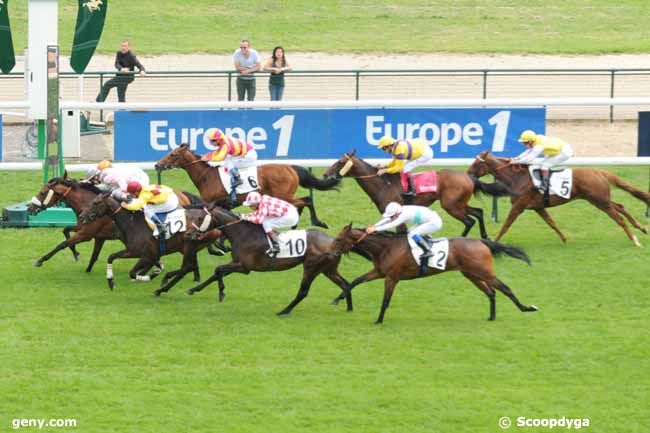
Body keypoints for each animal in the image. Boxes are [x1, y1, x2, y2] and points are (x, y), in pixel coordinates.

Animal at [153, 143, 340, 228]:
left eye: (173, 154)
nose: (157, 165)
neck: (207, 176)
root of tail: (290, 167)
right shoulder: (223, 204)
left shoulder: (213, 202)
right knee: (302, 202)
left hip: (283, 195)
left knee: (306, 200)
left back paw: (317, 222)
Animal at [172, 206, 352, 314]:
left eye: (200, 219)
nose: (188, 234)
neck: (242, 233)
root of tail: (334, 242)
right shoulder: (237, 263)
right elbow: (216, 273)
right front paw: (193, 290)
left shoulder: (244, 267)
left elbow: (218, 270)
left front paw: (221, 293)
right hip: (328, 269)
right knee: (345, 284)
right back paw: (349, 308)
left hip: (311, 268)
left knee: (303, 291)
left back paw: (284, 311)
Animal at [322, 150, 508, 238]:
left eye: (340, 162)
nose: (325, 174)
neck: (382, 183)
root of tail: (469, 176)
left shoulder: (397, 213)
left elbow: (400, 233)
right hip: (459, 203)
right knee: (478, 212)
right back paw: (485, 237)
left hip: (451, 205)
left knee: (469, 221)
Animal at [330, 224, 536, 322]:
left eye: (339, 239)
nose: (329, 252)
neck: (386, 247)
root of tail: (481, 241)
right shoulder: (379, 272)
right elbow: (354, 281)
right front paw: (337, 299)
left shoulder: (391, 278)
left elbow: (385, 300)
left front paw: (379, 320)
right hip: (471, 275)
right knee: (491, 292)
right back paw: (492, 316)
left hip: (484, 273)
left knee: (505, 288)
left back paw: (527, 308)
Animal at [466, 151, 648, 246]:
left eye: (477, 163)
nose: (468, 174)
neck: (518, 178)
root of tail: (600, 171)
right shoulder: (538, 207)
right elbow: (551, 223)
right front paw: (564, 238)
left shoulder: (518, 206)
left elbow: (506, 226)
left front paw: (494, 242)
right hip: (600, 199)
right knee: (621, 206)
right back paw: (641, 227)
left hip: (600, 201)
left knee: (619, 219)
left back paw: (635, 240)